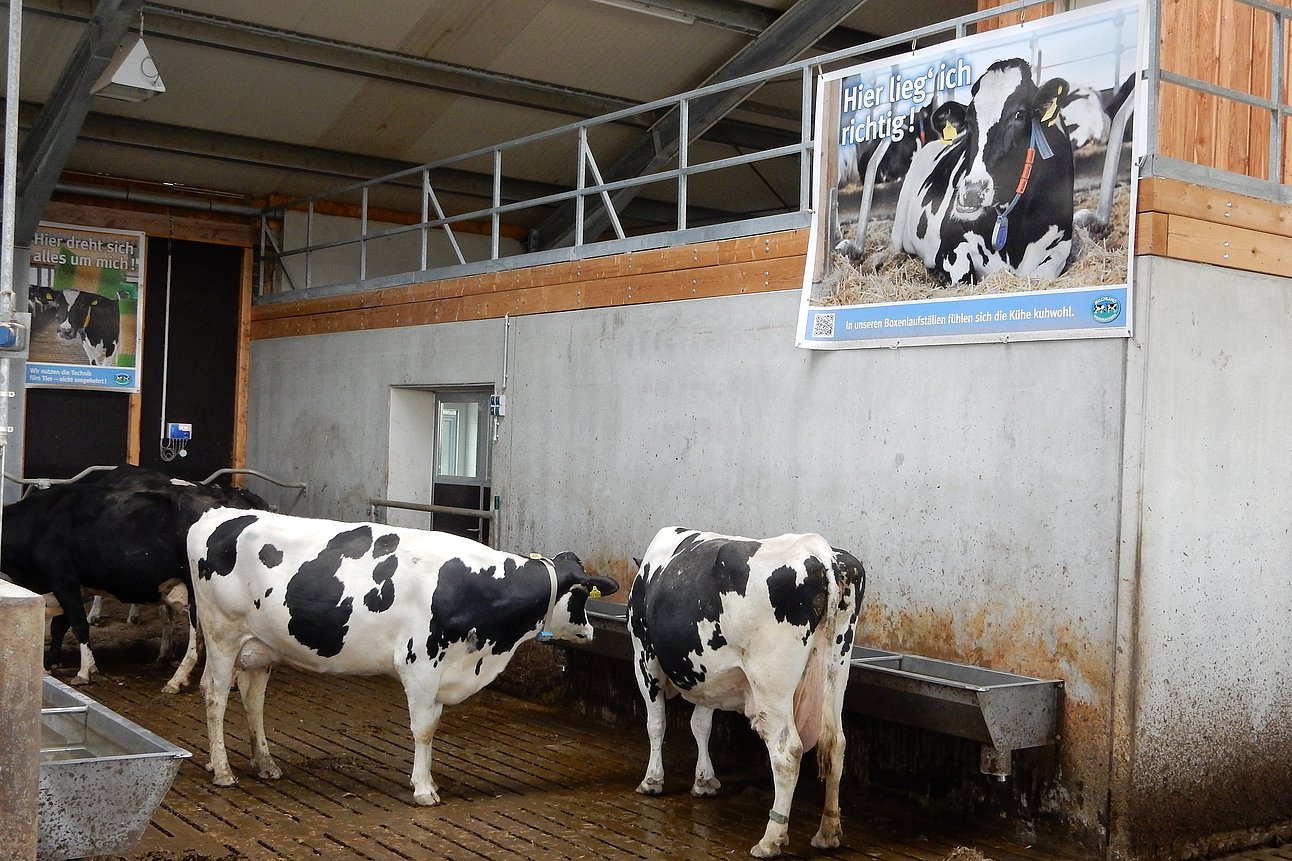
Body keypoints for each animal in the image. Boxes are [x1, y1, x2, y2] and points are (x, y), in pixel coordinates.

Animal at [1, 462, 270, 692]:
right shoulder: (70, 584)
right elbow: (59, 625)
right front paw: (51, 664)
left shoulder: (63, 579)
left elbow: (79, 624)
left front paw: (84, 671)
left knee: (198, 638)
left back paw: (178, 680)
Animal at [186, 506, 620, 801]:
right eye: (581, 595)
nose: (590, 629)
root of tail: (218, 515)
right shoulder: (422, 663)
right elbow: (424, 728)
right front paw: (425, 788)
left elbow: (433, 724)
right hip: (222, 634)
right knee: (215, 696)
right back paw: (222, 770)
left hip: (260, 646)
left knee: (252, 699)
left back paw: (264, 764)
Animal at [627, 527, 868, 853]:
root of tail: (820, 552)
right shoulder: (709, 673)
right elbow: (701, 724)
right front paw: (704, 781)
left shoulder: (644, 657)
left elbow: (656, 723)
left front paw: (652, 780)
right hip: (836, 669)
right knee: (835, 743)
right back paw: (827, 832)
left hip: (771, 684)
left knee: (787, 751)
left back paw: (771, 839)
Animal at [883, 57, 1074, 284]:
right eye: (968, 121)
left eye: (1019, 114)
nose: (973, 190)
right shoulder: (951, 244)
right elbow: (964, 275)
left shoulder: (1062, 244)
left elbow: (1042, 275)